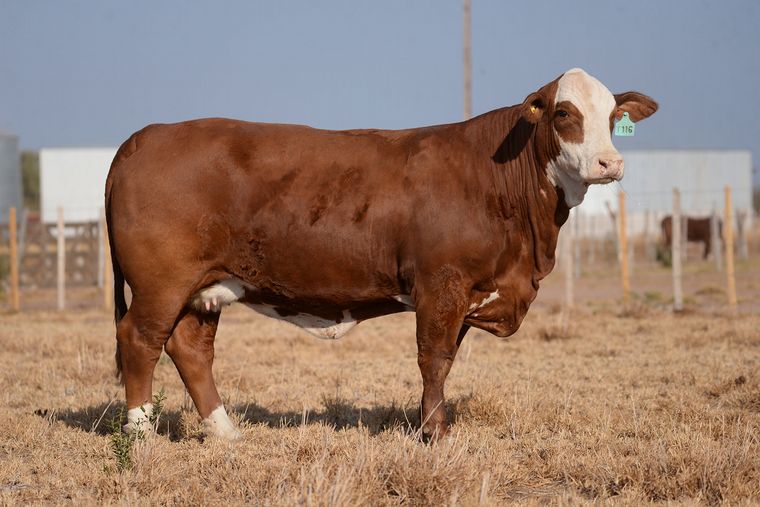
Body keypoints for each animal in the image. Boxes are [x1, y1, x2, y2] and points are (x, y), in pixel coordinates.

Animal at [107, 69, 660, 442]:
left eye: (614, 117)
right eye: (564, 113)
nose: (610, 163)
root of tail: (145, 136)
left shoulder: (470, 291)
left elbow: (447, 360)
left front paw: (431, 425)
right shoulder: (442, 283)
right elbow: (434, 358)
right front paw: (434, 434)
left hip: (205, 286)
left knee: (190, 349)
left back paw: (225, 433)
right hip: (161, 282)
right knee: (140, 340)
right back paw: (139, 435)